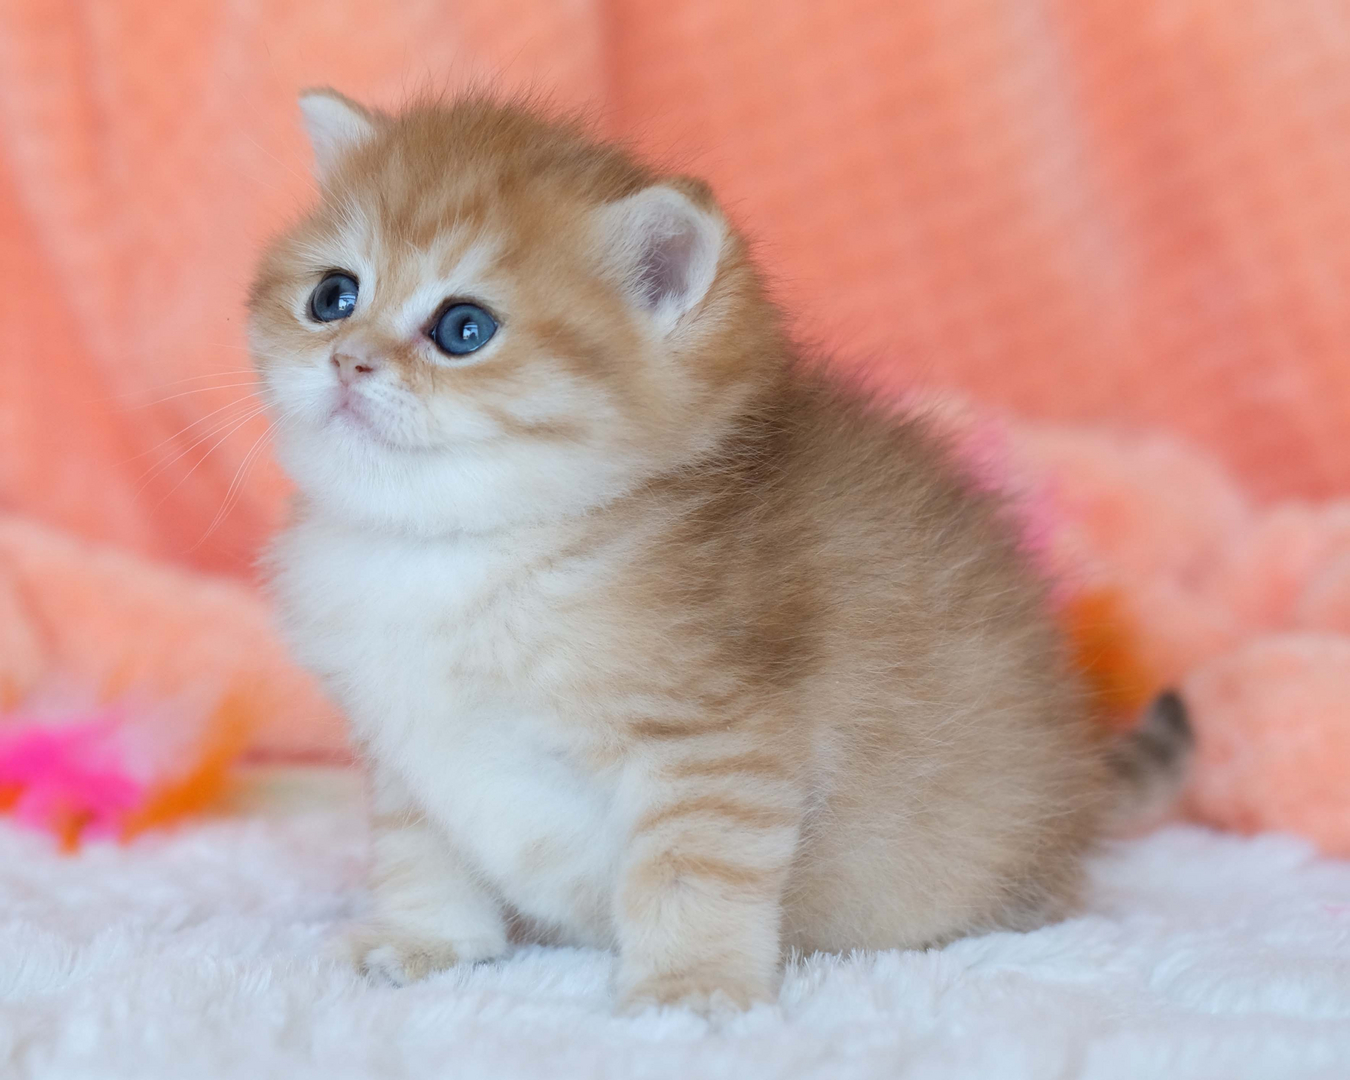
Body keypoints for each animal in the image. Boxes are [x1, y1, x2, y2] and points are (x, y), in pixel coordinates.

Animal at [251, 90, 1193, 1015]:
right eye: (333, 296)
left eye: (463, 328)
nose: (348, 359)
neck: (455, 550)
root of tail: (1079, 777)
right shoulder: (406, 747)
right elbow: (420, 853)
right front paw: (426, 941)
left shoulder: (713, 743)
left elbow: (691, 873)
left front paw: (688, 986)